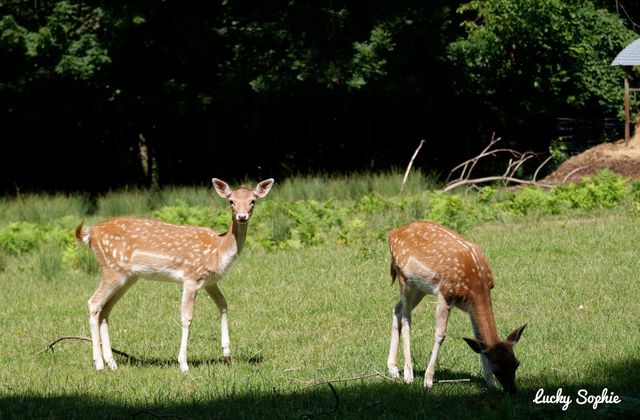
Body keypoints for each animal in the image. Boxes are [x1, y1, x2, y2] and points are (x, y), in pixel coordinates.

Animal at [76, 177, 274, 370]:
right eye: (231, 201)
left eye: (253, 200)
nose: (242, 217)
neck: (218, 250)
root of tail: (89, 234)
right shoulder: (191, 277)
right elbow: (187, 318)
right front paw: (183, 364)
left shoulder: (210, 281)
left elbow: (223, 304)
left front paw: (227, 354)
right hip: (112, 269)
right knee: (93, 302)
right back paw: (99, 363)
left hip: (127, 277)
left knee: (105, 310)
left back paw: (112, 362)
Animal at [384, 220, 524, 394]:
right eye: (497, 368)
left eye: (517, 363)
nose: (513, 391)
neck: (476, 287)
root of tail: (392, 233)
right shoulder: (445, 292)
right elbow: (440, 333)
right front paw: (428, 380)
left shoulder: (469, 306)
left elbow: (478, 337)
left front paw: (490, 383)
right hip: (404, 278)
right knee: (406, 319)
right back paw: (408, 374)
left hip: (419, 287)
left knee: (396, 309)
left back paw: (393, 369)